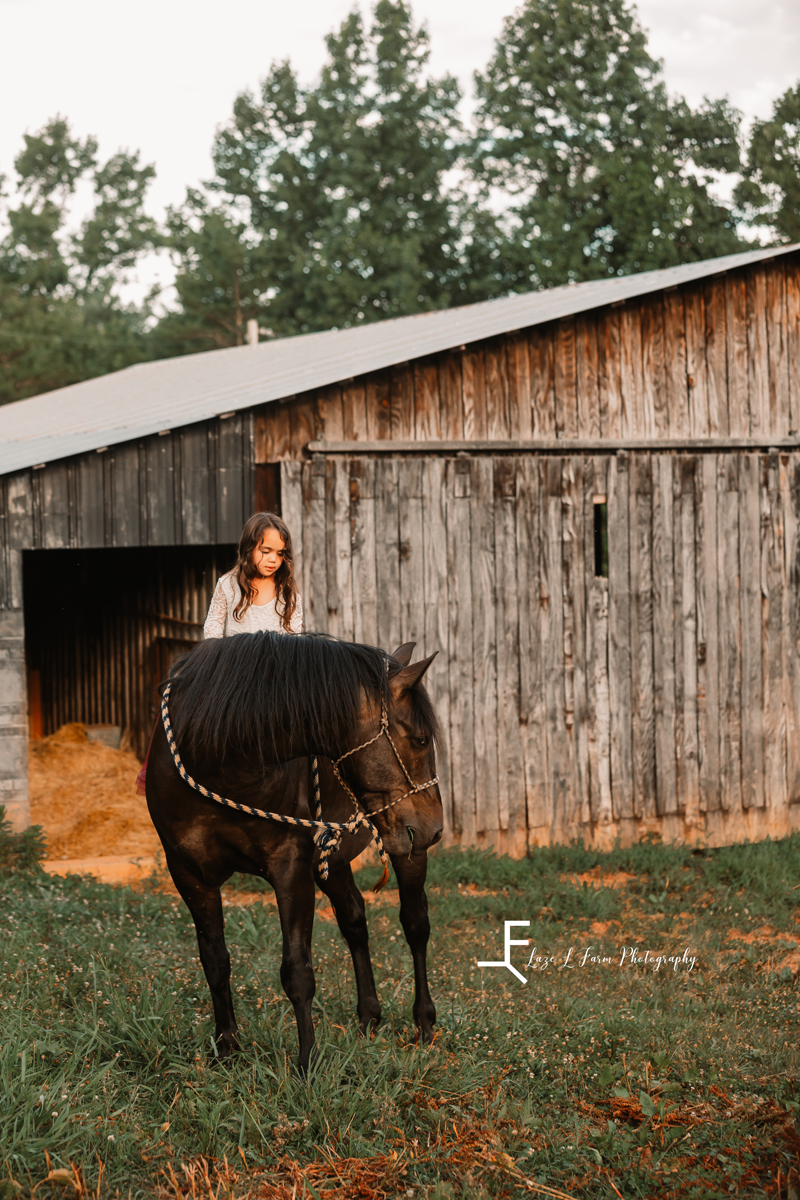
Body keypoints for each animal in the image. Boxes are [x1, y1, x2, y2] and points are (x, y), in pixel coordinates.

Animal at [143, 638, 443, 1070]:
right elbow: (215, 961)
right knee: (354, 920)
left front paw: (307, 1063)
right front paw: (227, 1047)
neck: (218, 757)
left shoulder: (291, 869)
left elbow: (297, 971)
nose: (435, 827)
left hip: (404, 849)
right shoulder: (189, 873)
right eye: (420, 740)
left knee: (415, 924)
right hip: (338, 858)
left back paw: (424, 1022)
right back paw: (368, 1017)